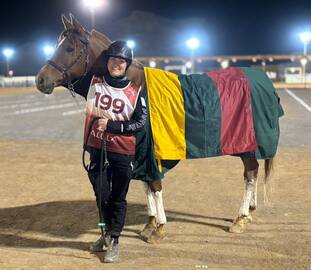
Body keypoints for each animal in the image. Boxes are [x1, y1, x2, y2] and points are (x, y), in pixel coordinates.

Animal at [36, 13, 282, 244]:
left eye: (69, 48)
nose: (40, 80)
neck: (131, 83)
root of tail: (261, 79)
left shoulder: (151, 151)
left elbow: (154, 185)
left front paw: (159, 228)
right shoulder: (138, 151)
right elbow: (146, 187)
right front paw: (149, 223)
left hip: (247, 145)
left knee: (250, 174)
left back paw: (241, 218)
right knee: (252, 173)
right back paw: (250, 211)